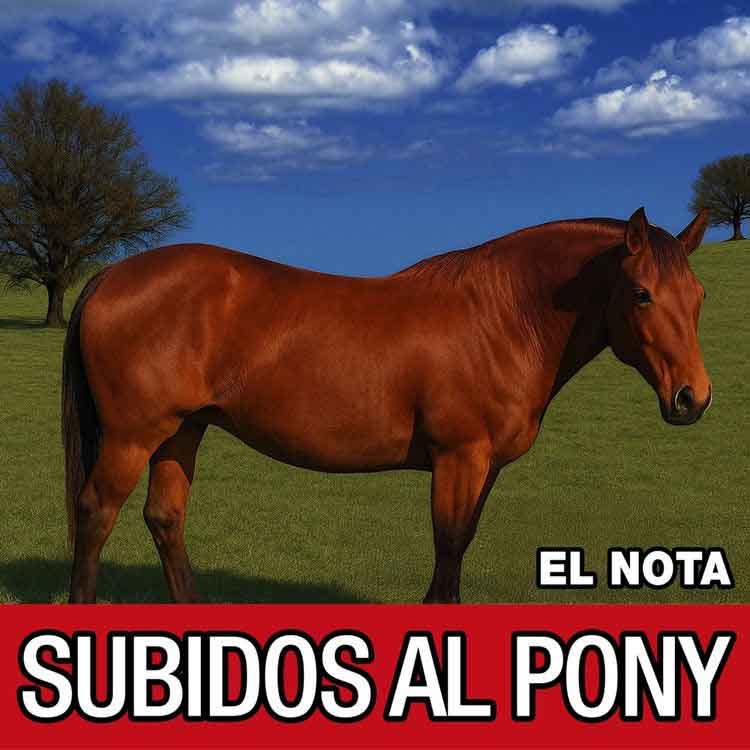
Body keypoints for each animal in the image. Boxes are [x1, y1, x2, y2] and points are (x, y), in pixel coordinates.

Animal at [62, 207, 712, 604]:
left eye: (699, 294)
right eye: (641, 293)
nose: (692, 398)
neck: (499, 316)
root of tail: (110, 275)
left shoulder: (484, 467)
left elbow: (461, 544)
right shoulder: (459, 457)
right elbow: (448, 546)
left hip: (181, 431)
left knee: (164, 518)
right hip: (133, 435)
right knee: (96, 512)